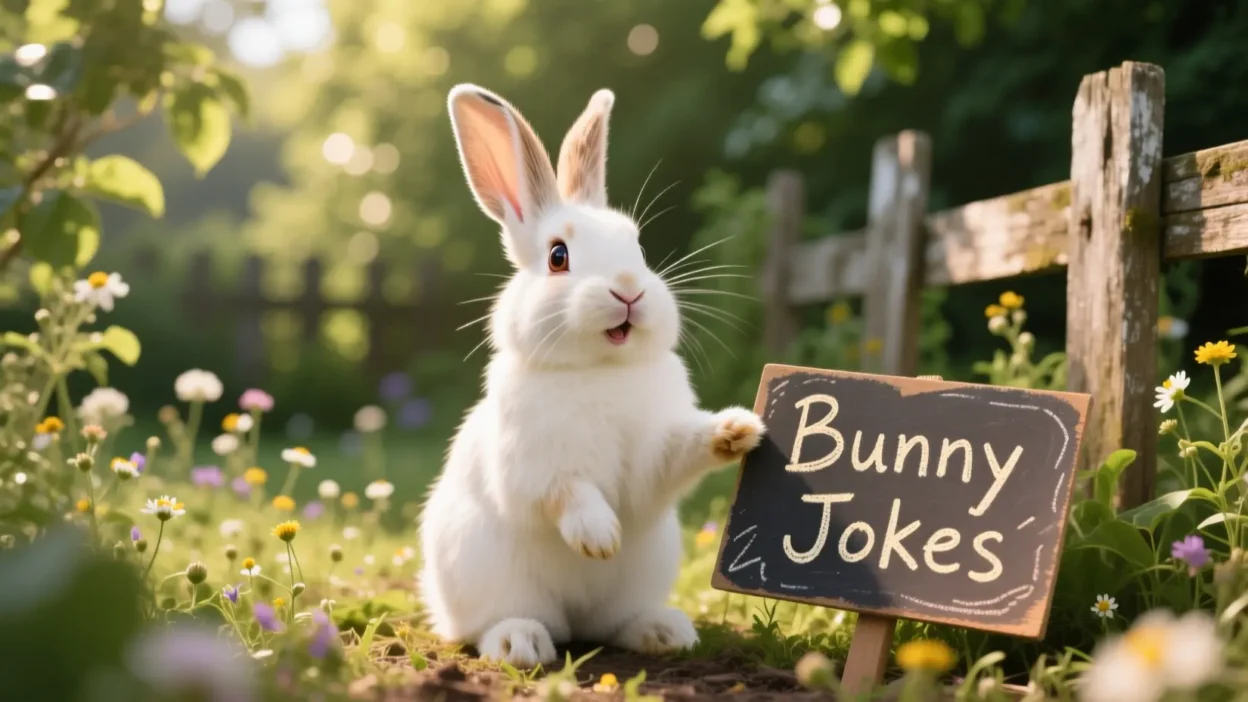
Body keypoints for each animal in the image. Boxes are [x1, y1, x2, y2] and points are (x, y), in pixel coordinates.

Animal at [417, 83, 766, 668]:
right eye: (558, 256)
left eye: (639, 248)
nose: (629, 289)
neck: (600, 370)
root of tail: (572, 623)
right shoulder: (533, 467)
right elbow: (568, 492)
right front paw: (600, 538)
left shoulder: (653, 458)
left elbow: (673, 457)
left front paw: (737, 429)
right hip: (486, 576)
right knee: (493, 626)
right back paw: (519, 642)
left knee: (613, 624)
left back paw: (665, 631)